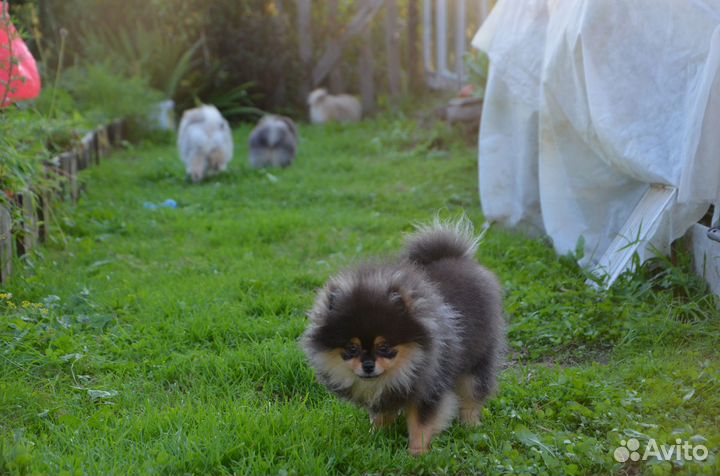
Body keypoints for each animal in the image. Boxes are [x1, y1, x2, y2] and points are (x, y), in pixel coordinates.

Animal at [300, 218, 504, 456]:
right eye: (352, 348)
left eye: (384, 346)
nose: (368, 365)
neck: (405, 366)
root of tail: (454, 256)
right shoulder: (383, 396)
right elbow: (381, 416)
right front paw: (375, 437)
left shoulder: (429, 388)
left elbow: (421, 425)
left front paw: (417, 454)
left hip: (477, 360)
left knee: (473, 395)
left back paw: (471, 424)